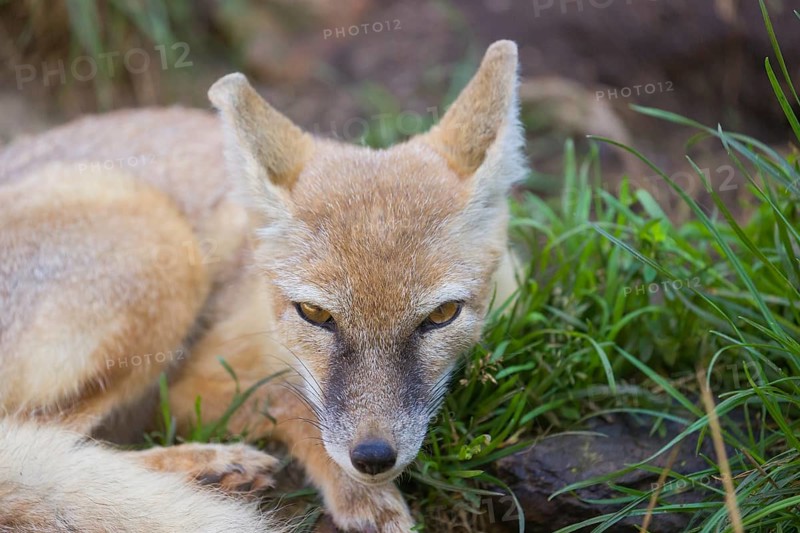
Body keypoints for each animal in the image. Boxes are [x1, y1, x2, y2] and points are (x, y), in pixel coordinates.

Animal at [0, 40, 525, 532]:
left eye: (441, 316)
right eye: (315, 314)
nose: (373, 457)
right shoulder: (191, 387)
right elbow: (288, 402)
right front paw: (355, 491)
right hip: (165, 250)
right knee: (41, 438)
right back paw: (199, 467)